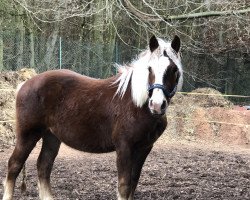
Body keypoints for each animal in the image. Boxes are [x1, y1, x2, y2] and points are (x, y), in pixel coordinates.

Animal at [2, 35, 184, 200]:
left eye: (174, 69)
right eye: (150, 69)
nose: (157, 105)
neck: (136, 104)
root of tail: (25, 84)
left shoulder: (144, 148)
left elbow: (133, 183)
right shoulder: (124, 147)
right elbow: (124, 186)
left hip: (51, 136)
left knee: (43, 166)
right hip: (28, 135)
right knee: (14, 165)